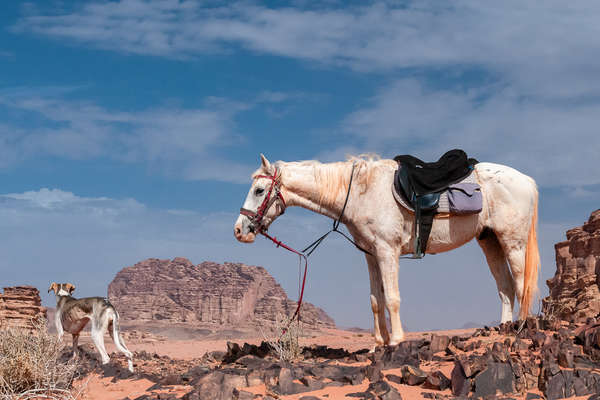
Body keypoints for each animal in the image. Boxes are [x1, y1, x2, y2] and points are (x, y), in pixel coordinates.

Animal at [234, 153, 540, 346]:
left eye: (259, 190)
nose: (239, 230)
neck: (360, 193)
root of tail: (527, 181)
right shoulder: (370, 254)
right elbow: (375, 300)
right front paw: (378, 344)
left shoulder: (387, 251)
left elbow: (392, 298)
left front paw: (395, 341)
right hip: (489, 241)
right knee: (505, 288)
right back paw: (502, 329)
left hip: (513, 242)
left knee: (521, 285)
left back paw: (519, 329)